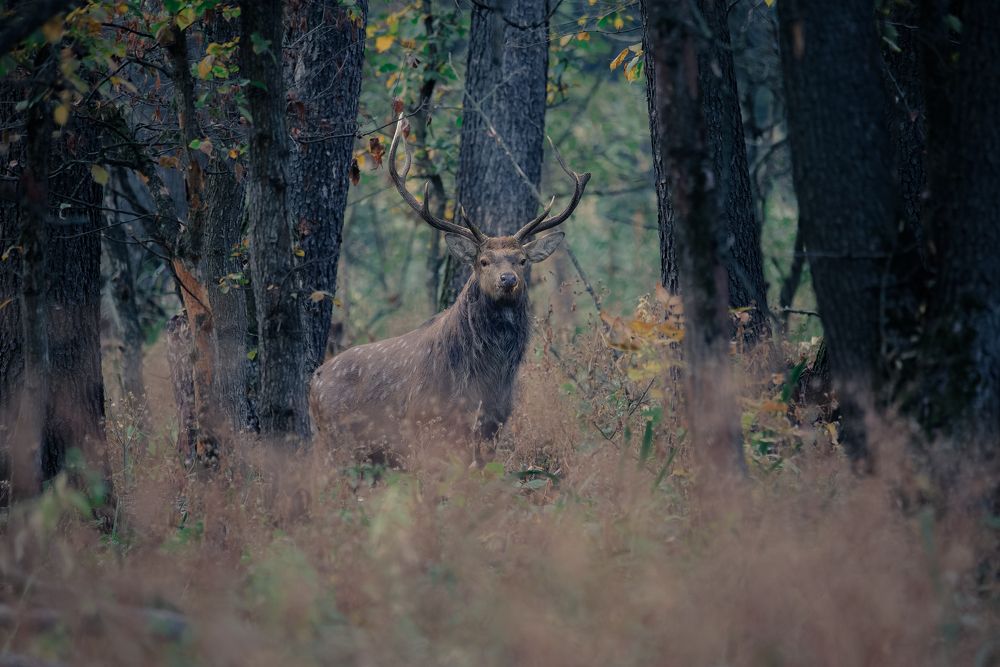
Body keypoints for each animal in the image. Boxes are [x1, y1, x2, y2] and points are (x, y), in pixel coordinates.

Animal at [309, 114, 590, 466]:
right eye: (483, 261)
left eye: (523, 260)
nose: (508, 279)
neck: (487, 379)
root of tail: (312, 383)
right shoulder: (425, 424)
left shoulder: (493, 425)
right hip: (335, 442)